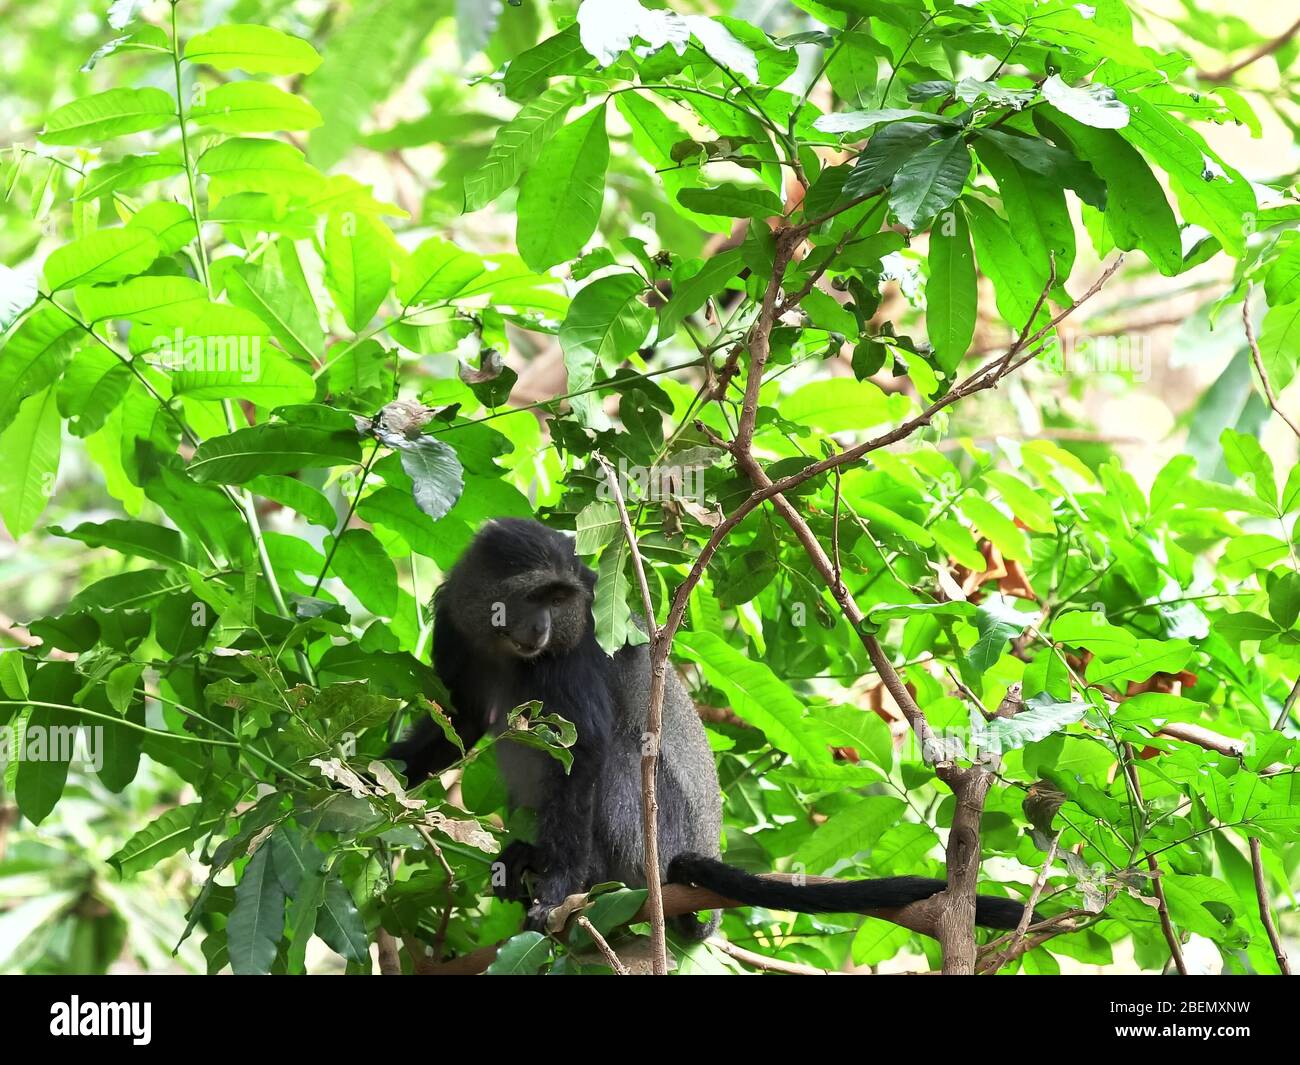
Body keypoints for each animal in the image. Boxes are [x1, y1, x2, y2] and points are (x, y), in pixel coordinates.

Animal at [386, 518, 1036, 937]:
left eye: (561, 598)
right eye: (534, 596)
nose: (543, 628)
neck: (506, 647)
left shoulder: (580, 647)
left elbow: (586, 746)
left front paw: (558, 886)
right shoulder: (454, 624)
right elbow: (461, 722)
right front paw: (373, 777)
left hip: (654, 836)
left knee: (620, 753)